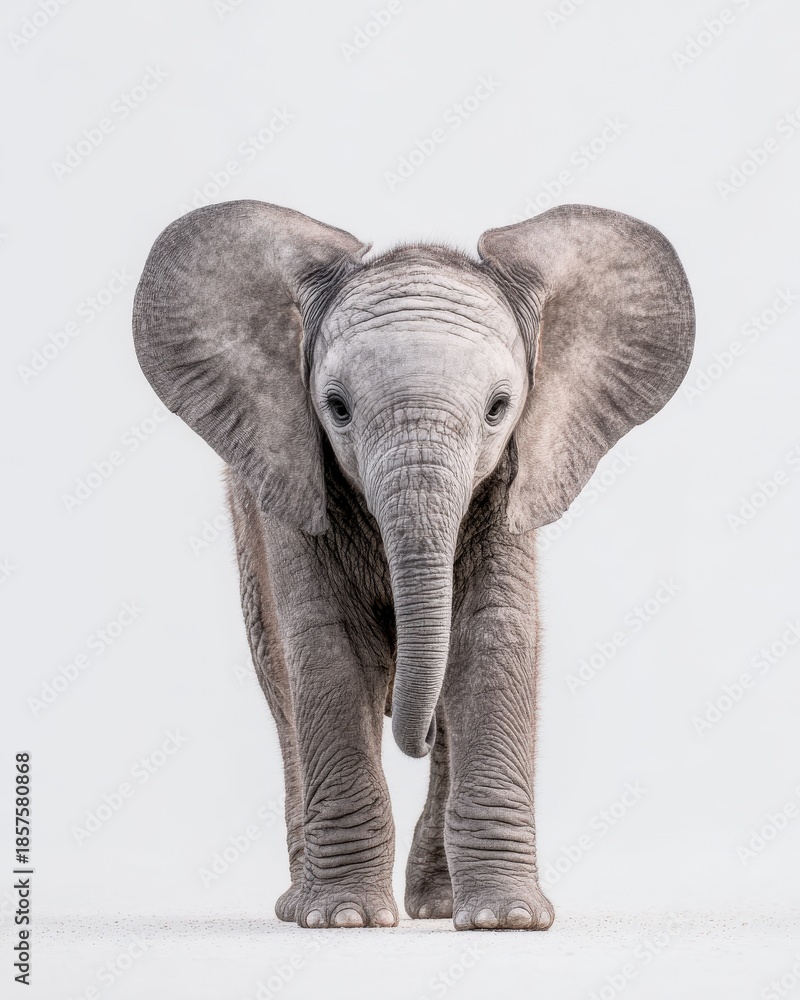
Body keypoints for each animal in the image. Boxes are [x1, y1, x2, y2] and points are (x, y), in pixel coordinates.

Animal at [133, 200, 694, 930]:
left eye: (499, 409)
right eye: (337, 408)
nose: (413, 730)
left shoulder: (510, 483)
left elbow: (491, 635)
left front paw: (507, 922)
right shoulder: (289, 480)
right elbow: (328, 650)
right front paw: (345, 920)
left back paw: (439, 905)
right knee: (282, 687)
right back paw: (299, 905)